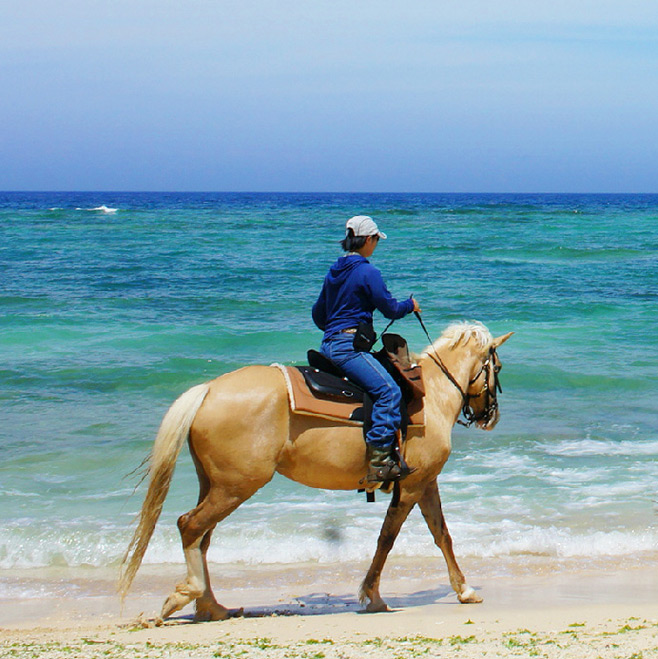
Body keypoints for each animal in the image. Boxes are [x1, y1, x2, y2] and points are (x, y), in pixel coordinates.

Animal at [119, 322, 512, 620]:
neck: (432, 395)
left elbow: (441, 534)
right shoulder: (413, 485)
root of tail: (210, 389)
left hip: (214, 485)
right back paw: (187, 596)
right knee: (191, 526)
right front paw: (373, 595)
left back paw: (212, 607)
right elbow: (387, 538)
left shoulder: (425, 482)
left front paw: (464, 590)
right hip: (236, 486)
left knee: (202, 536)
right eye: (497, 369)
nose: (491, 418)